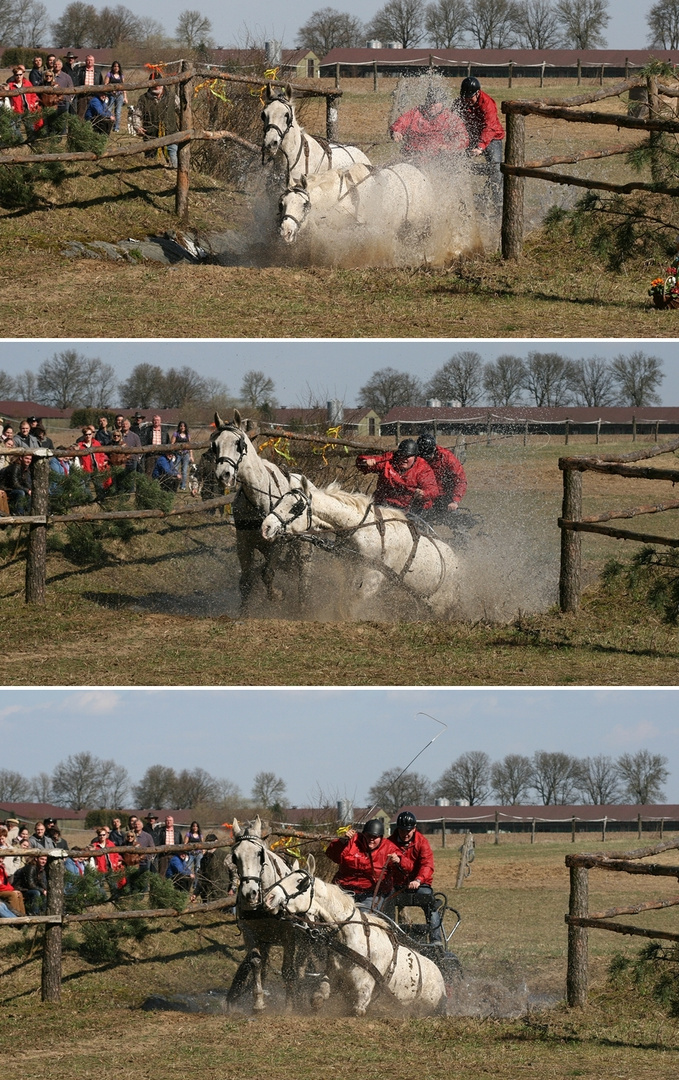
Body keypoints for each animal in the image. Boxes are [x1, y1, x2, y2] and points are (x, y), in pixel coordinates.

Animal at [210, 412, 310, 613]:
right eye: (214, 445)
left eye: (238, 443)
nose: (223, 475)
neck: (258, 498)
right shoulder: (243, 543)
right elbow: (246, 580)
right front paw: (244, 611)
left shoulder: (276, 543)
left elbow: (268, 574)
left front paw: (277, 595)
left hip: (301, 544)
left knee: (302, 572)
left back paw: (302, 604)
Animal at [259, 479, 459, 622]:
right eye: (279, 501)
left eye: (296, 507)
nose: (266, 527)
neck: (365, 530)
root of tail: (456, 561)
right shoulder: (350, 568)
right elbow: (345, 596)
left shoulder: (373, 577)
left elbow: (354, 600)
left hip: (440, 603)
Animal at [263, 855, 444, 1015]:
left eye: (301, 883)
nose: (268, 898)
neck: (348, 935)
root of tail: (441, 982)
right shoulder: (333, 976)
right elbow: (318, 998)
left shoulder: (364, 987)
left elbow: (358, 1009)